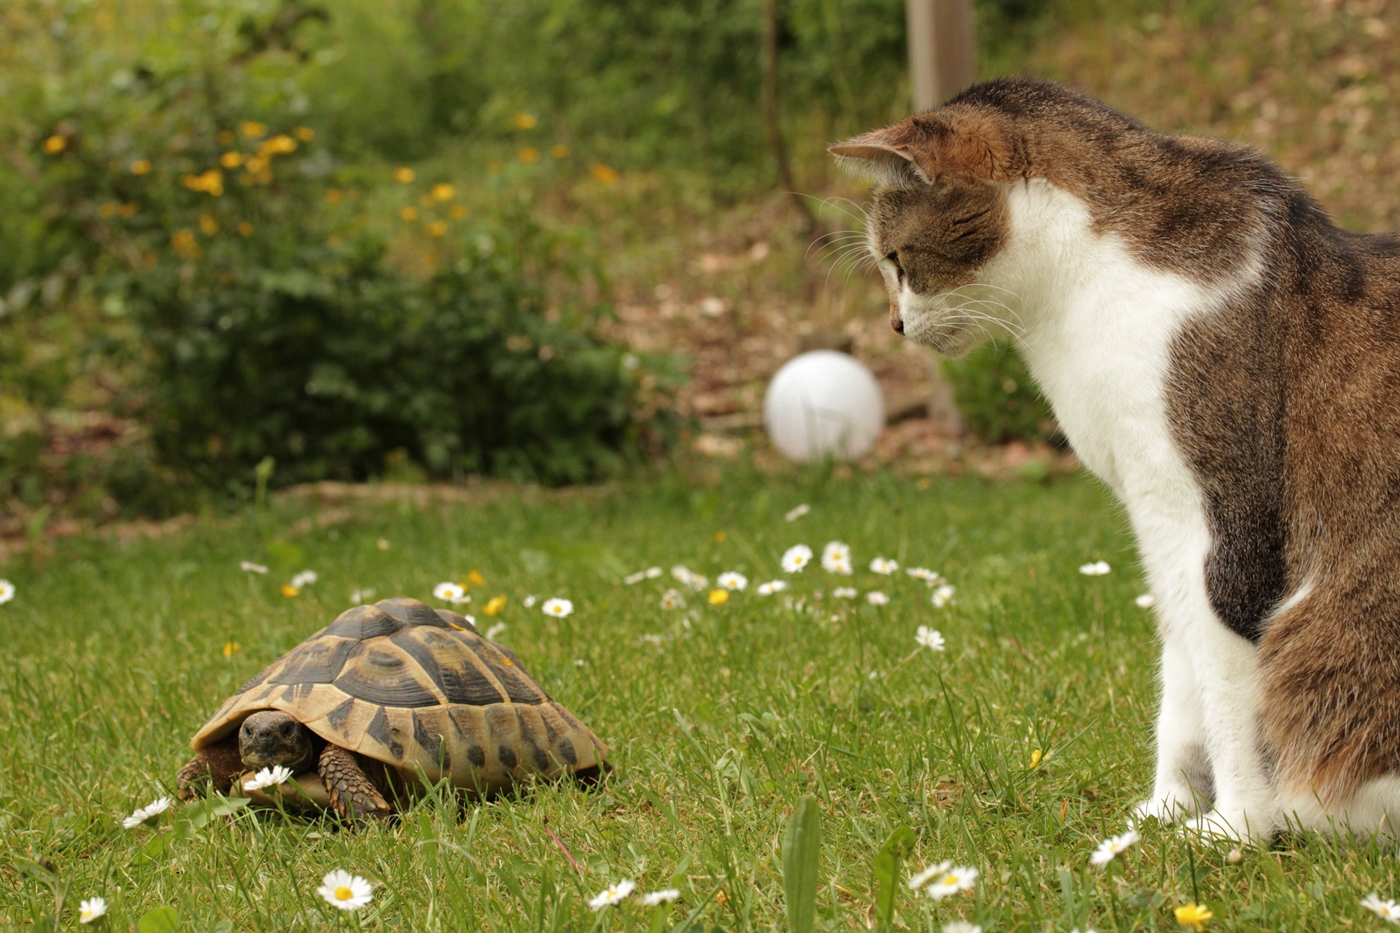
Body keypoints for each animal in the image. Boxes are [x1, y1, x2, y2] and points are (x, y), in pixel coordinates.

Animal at [828, 76, 1400, 840]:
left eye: (896, 260)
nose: (894, 325)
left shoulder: (1215, 519)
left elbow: (1229, 692)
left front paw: (1237, 827)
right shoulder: (1156, 514)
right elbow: (1181, 680)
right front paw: (1163, 812)